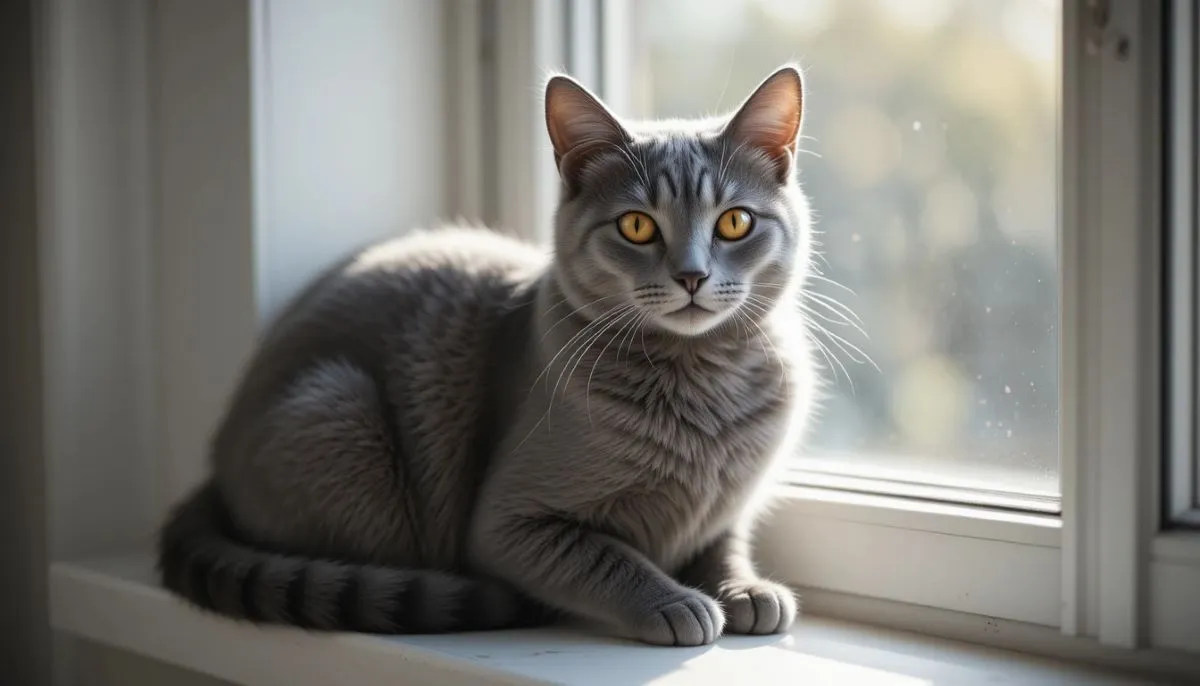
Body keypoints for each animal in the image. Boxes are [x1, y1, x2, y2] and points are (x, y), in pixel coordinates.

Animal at [157, 64, 816, 647]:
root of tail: (216, 460)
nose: (691, 276)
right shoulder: (509, 524)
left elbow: (723, 543)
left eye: (735, 222)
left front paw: (745, 588)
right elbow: (611, 557)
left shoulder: (728, 508)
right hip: (339, 409)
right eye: (635, 226)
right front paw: (676, 601)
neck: (705, 377)